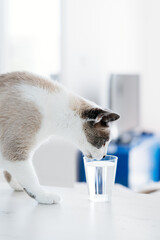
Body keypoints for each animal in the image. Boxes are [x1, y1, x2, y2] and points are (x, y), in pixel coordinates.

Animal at [0, 71, 119, 204]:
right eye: (104, 141)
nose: (104, 156)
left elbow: (9, 173)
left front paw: (18, 185)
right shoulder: (15, 151)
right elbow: (31, 179)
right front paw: (44, 196)